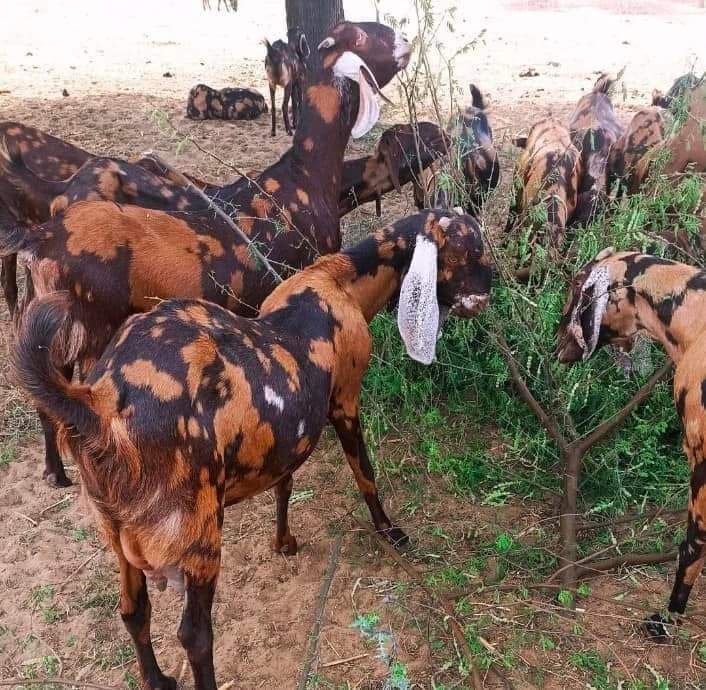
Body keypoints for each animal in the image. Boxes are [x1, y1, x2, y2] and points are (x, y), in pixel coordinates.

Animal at [2, 21, 412, 486]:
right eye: (365, 35)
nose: (406, 43)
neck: (306, 176)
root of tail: (42, 235)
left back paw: (56, 472)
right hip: (91, 329)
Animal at [15, 208, 490, 688]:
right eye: (471, 251)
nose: (487, 294)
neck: (340, 282)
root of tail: (100, 405)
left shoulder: (286, 430)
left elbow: (285, 482)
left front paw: (284, 541)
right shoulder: (345, 399)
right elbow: (364, 472)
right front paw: (390, 531)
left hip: (116, 533)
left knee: (133, 610)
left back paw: (157, 678)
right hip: (197, 532)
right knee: (194, 634)